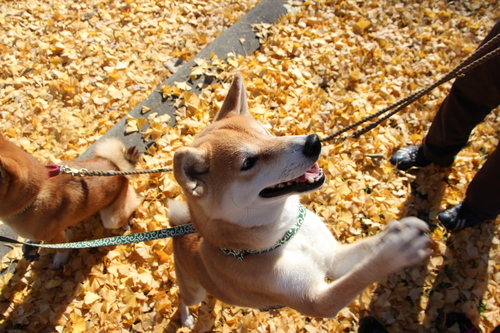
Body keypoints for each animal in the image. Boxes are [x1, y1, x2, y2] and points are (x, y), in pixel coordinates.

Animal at [1, 135, 143, 268]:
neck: (34, 198)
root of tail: (116, 168)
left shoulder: (55, 237)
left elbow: (62, 250)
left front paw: (60, 260)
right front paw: (32, 240)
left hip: (112, 219)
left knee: (132, 203)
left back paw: (127, 221)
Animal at [170, 72, 432, 324]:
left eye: (267, 132)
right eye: (248, 163)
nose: (313, 142)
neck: (286, 237)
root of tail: (178, 230)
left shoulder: (334, 257)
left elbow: (368, 249)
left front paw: (397, 231)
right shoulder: (317, 300)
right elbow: (363, 273)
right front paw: (400, 249)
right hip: (193, 292)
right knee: (182, 297)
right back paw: (186, 317)